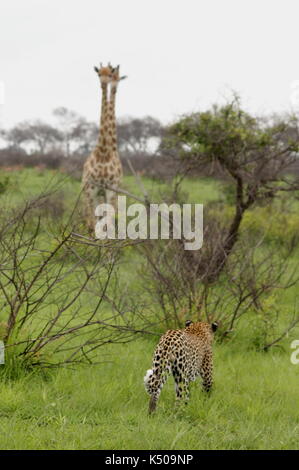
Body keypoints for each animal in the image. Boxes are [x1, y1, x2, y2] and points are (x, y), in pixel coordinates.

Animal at [81, 62, 126, 233]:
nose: (106, 84)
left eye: (114, 75)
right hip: (88, 192)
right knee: (90, 220)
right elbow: (93, 225)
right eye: (99, 73)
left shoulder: (110, 189)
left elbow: (108, 222)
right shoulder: (92, 189)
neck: (104, 152)